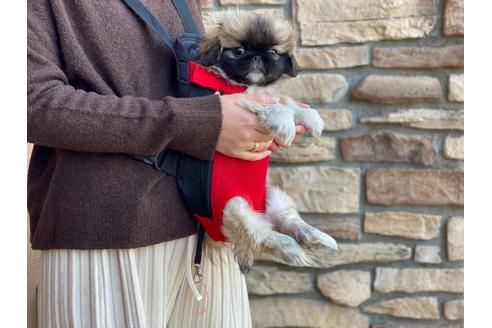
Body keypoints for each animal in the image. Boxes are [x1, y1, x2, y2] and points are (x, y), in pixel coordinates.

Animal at [198, 11, 336, 272]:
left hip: (274, 194)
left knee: (286, 220)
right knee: (262, 235)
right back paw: (290, 247)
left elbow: (286, 101)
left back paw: (314, 237)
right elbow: (276, 106)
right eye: (239, 50)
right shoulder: (238, 102)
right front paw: (285, 123)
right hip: (235, 207)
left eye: (272, 51)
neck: (247, 84)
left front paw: (310, 116)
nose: (257, 56)